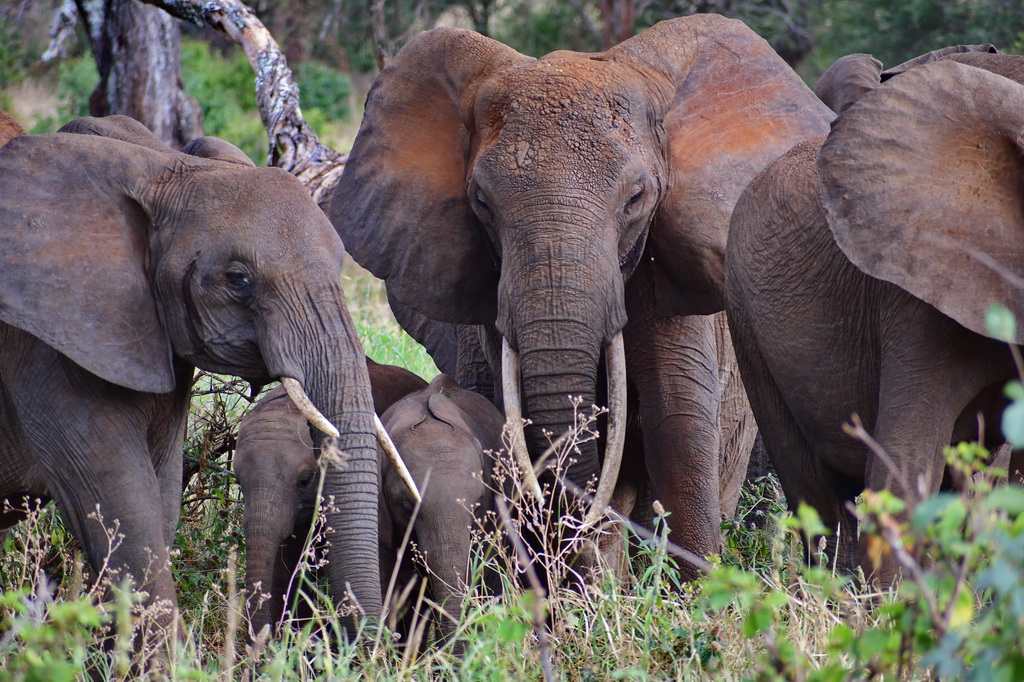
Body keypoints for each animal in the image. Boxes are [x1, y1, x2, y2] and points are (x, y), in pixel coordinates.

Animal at [0, 114, 387, 638]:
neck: (160, 167)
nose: (382, 642)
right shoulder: (50, 345)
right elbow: (123, 514)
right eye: (239, 280)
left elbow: (160, 501)